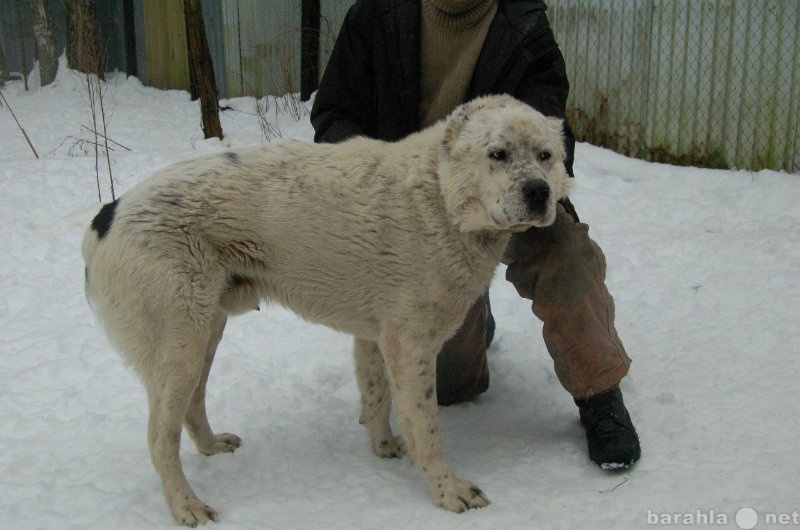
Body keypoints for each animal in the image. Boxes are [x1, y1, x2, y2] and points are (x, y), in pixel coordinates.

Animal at [83, 95, 568, 524]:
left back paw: (211, 446)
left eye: (546, 156)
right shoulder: (411, 346)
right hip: (179, 344)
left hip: (204, 333)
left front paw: (384, 448)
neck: (438, 198)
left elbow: (376, 397)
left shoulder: (376, 338)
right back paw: (186, 506)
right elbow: (426, 427)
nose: (539, 191)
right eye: (498, 154)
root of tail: (107, 215)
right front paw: (448, 491)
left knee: (192, 404)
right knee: (158, 440)